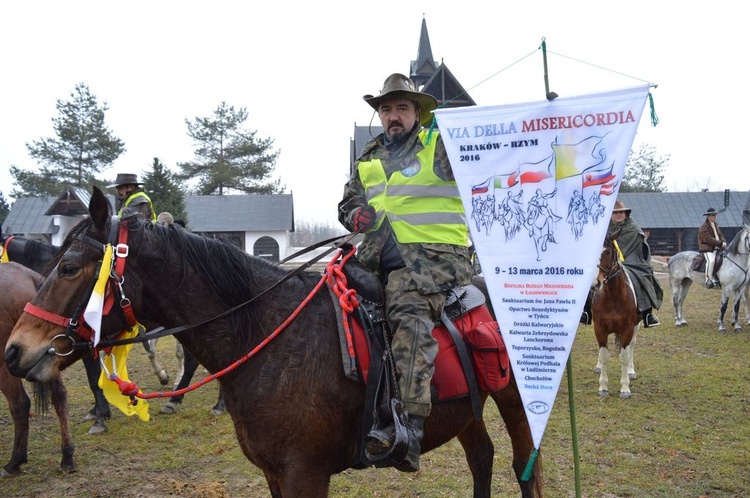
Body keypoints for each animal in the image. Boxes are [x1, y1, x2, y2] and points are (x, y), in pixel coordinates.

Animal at [592, 231, 640, 398]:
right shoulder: (599, 329)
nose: (596, 284)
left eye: (607, 252)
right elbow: (604, 356)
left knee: (632, 346)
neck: (613, 297)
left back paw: (631, 371)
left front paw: (625, 388)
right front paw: (603, 387)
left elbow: (624, 357)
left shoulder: (627, 329)